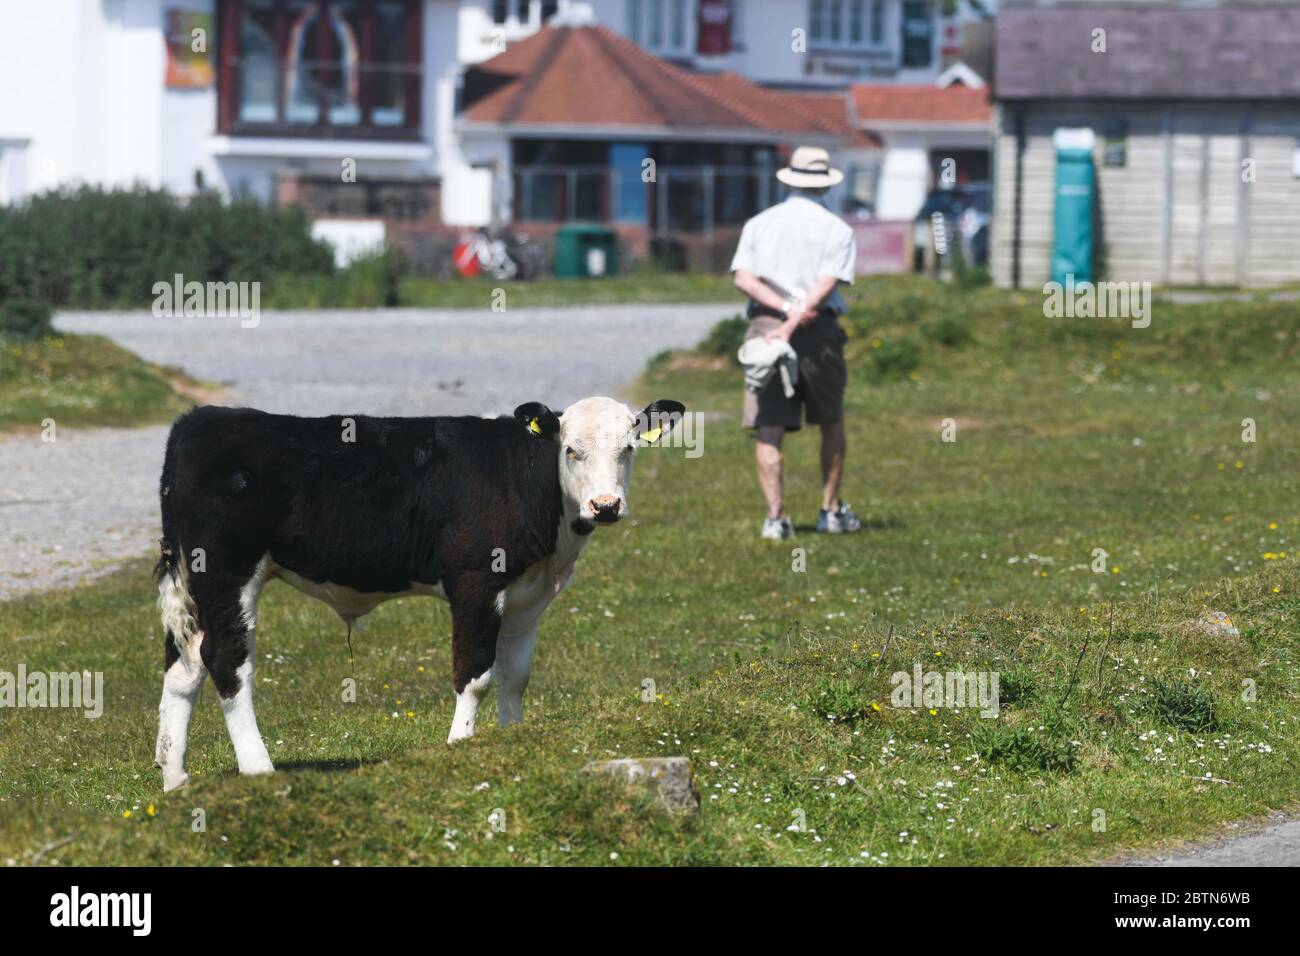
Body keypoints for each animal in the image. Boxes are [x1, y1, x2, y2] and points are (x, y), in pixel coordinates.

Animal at [152, 392, 686, 790]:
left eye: (629, 448)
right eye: (571, 449)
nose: (606, 505)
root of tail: (201, 419)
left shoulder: (528, 597)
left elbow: (516, 676)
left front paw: (511, 739)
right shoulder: (475, 580)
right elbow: (475, 674)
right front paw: (461, 745)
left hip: (197, 581)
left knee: (185, 663)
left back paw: (175, 776)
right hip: (228, 572)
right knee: (227, 660)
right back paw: (259, 769)